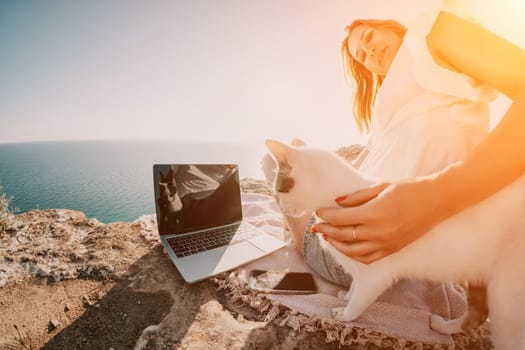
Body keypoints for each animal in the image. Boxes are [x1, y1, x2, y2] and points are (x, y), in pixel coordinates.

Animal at [264, 139, 524, 350]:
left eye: (278, 189)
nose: (282, 208)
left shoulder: (374, 276)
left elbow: (359, 301)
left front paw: (345, 315)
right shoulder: (360, 269)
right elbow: (355, 288)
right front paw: (346, 296)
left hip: (505, 300)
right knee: (476, 315)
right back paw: (443, 326)